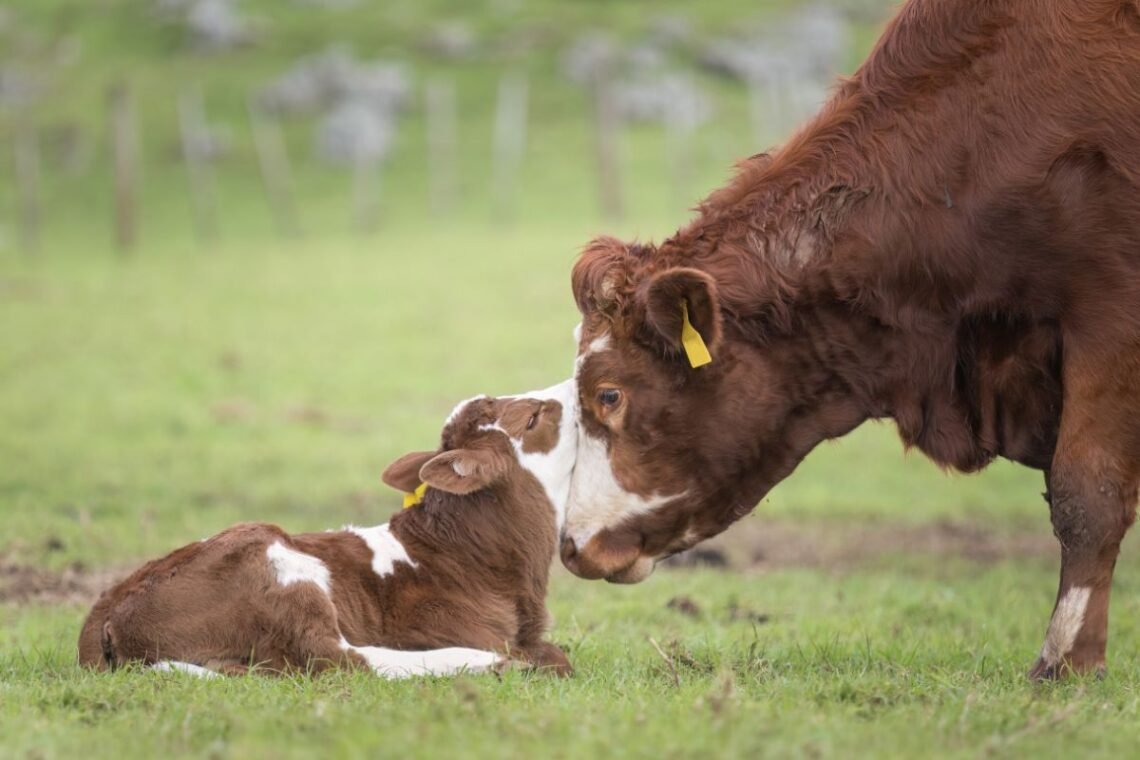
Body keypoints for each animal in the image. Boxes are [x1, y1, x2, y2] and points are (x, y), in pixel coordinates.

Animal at [78, 382, 579, 679]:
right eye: (533, 417)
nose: (576, 385)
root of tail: (105, 613)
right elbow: (556, 657)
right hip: (275, 567)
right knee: (336, 658)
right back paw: (484, 662)